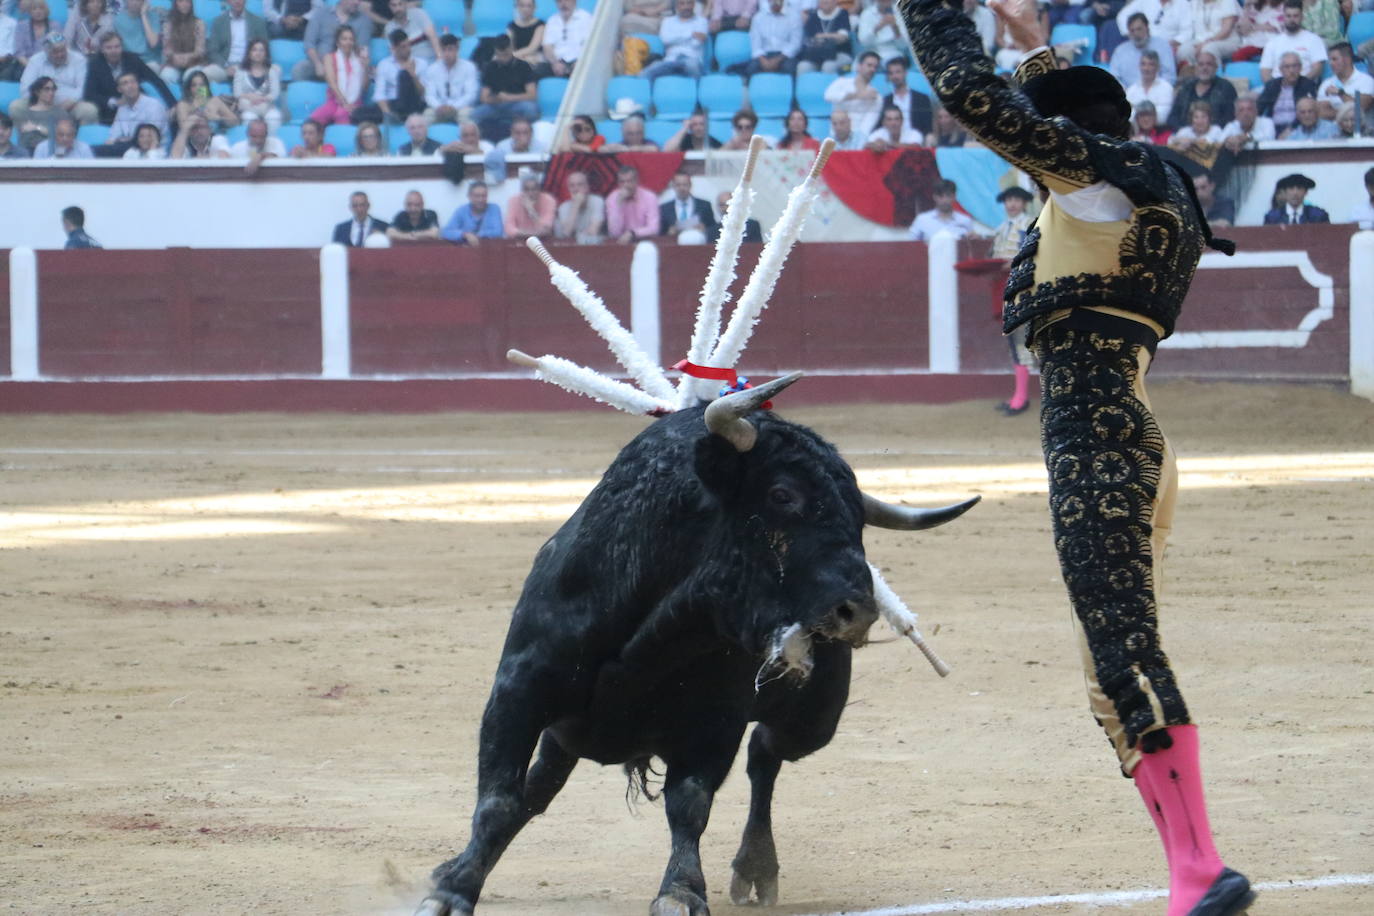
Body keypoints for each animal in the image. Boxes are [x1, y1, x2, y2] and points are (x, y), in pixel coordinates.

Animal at [412, 376, 972, 911]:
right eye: (782, 495)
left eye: (858, 516)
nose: (858, 611)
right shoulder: (518, 691)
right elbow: (499, 798)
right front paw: (452, 889)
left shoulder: (714, 722)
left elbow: (690, 803)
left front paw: (680, 892)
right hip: (566, 731)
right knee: (540, 785)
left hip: (814, 721)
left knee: (765, 754)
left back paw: (756, 867)